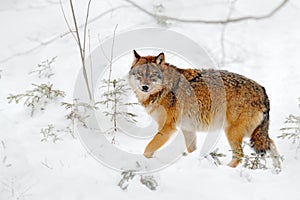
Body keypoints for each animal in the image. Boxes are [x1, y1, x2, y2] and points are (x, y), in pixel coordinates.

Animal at [129, 49, 282, 169]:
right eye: (140, 75)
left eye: (152, 75)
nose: (144, 87)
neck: (164, 89)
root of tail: (262, 90)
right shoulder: (187, 128)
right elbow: (192, 150)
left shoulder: (167, 128)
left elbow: (147, 149)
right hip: (252, 133)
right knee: (271, 144)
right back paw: (277, 171)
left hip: (233, 132)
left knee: (240, 155)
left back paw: (226, 169)